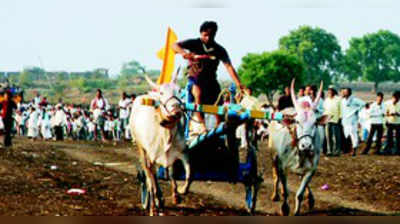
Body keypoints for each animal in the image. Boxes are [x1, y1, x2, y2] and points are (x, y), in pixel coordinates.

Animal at [129, 74, 190, 216]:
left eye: (179, 90)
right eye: (162, 93)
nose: (176, 109)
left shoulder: (182, 153)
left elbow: (186, 174)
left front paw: (179, 192)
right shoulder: (151, 158)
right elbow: (151, 182)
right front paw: (152, 208)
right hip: (142, 150)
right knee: (149, 177)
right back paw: (156, 199)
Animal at [268, 79, 328, 216]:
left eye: (315, 122)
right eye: (297, 121)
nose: (306, 145)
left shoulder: (311, 169)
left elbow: (300, 192)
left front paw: (298, 209)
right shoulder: (282, 166)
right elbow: (285, 191)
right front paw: (285, 208)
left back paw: (310, 198)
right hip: (273, 156)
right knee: (275, 176)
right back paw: (275, 194)